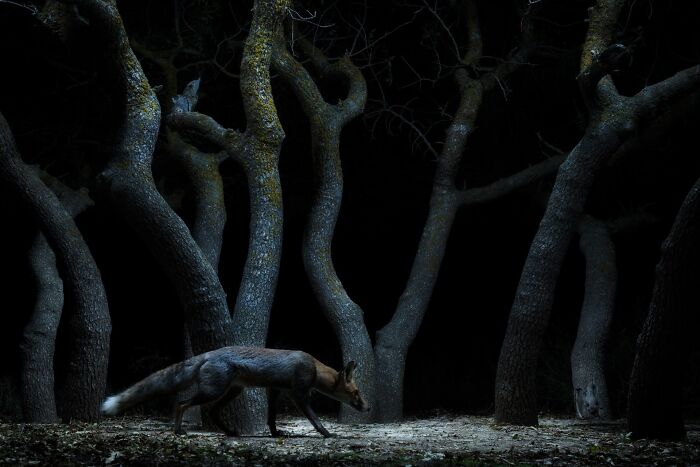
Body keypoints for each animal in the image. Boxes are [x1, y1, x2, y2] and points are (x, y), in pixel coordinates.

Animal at [101, 346, 370, 438]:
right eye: (356, 392)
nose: (367, 407)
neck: (313, 366)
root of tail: (210, 353)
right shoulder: (298, 393)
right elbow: (314, 418)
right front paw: (327, 433)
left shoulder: (275, 390)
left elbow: (271, 418)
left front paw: (275, 433)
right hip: (213, 391)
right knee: (182, 404)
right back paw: (178, 431)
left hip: (232, 392)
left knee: (212, 412)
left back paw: (230, 432)